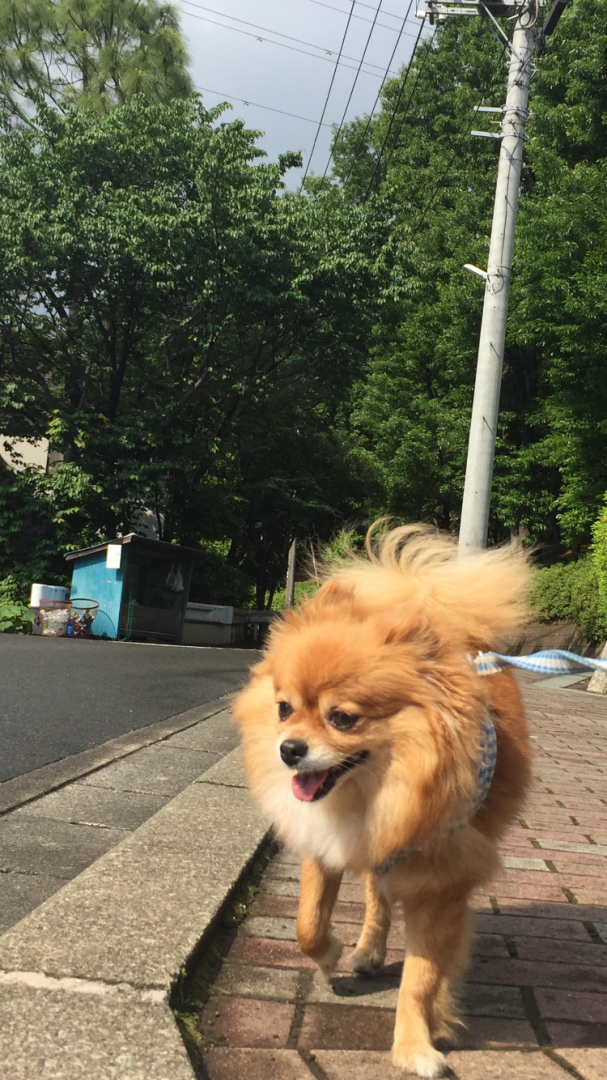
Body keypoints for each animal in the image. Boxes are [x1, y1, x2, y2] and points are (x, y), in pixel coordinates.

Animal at [232, 520, 529, 1071]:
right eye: (284, 708)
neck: (378, 795)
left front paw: (415, 1044)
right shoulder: (325, 844)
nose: (289, 749)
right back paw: (368, 948)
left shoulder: (443, 882)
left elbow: (422, 977)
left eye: (342, 718)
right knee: (375, 894)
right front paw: (329, 955)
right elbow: (307, 924)